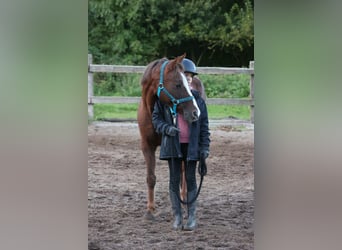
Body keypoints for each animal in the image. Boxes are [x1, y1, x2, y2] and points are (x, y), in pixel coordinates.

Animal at [137, 54, 200, 219]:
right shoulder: (147, 146)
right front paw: (150, 210)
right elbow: (151, 177)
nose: (195, 112)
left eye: (185, 83)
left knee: (184, 173)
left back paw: (185, 199)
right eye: (178, 84)